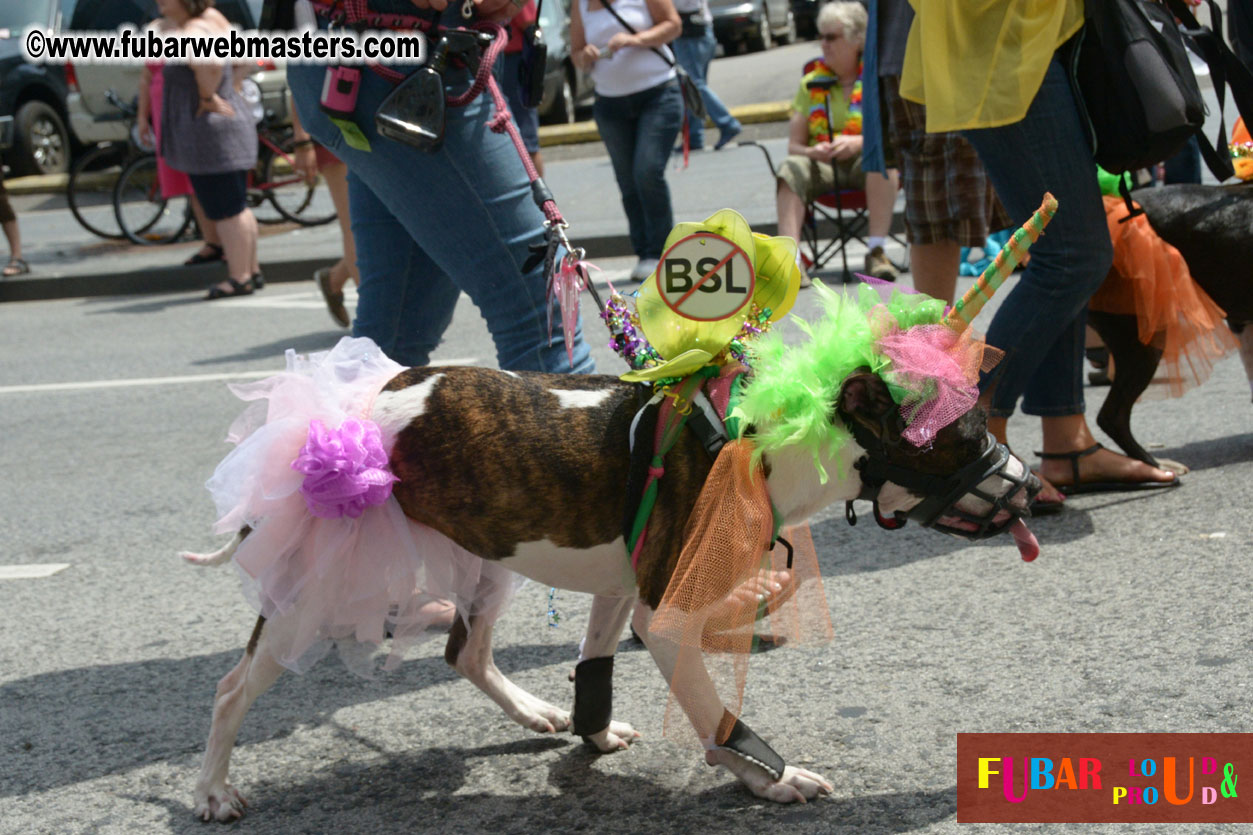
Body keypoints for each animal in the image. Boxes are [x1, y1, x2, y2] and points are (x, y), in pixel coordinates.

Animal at [179, 358, 1037, 817]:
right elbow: (717, 716)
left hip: (487, 555)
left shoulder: (621, 586)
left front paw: (590, 731)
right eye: (965, 435)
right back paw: (213, 789)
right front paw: (771, 776)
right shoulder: (666, 614)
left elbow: (595, 664)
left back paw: (531, 708)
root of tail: (357, 402)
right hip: (317, 594)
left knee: (465, 651)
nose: (1033, 485)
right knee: (230, 688)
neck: (764, 438)